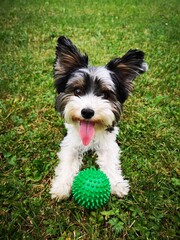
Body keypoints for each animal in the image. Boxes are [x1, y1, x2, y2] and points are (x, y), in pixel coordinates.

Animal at [49, 36, 148, 201]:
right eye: (77, 91)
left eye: (103, 94)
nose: (87, 112)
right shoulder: (71, 143)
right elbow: (68, 161)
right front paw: (61, 186)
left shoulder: (108, 144)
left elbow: (110, 161)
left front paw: (116, 183)